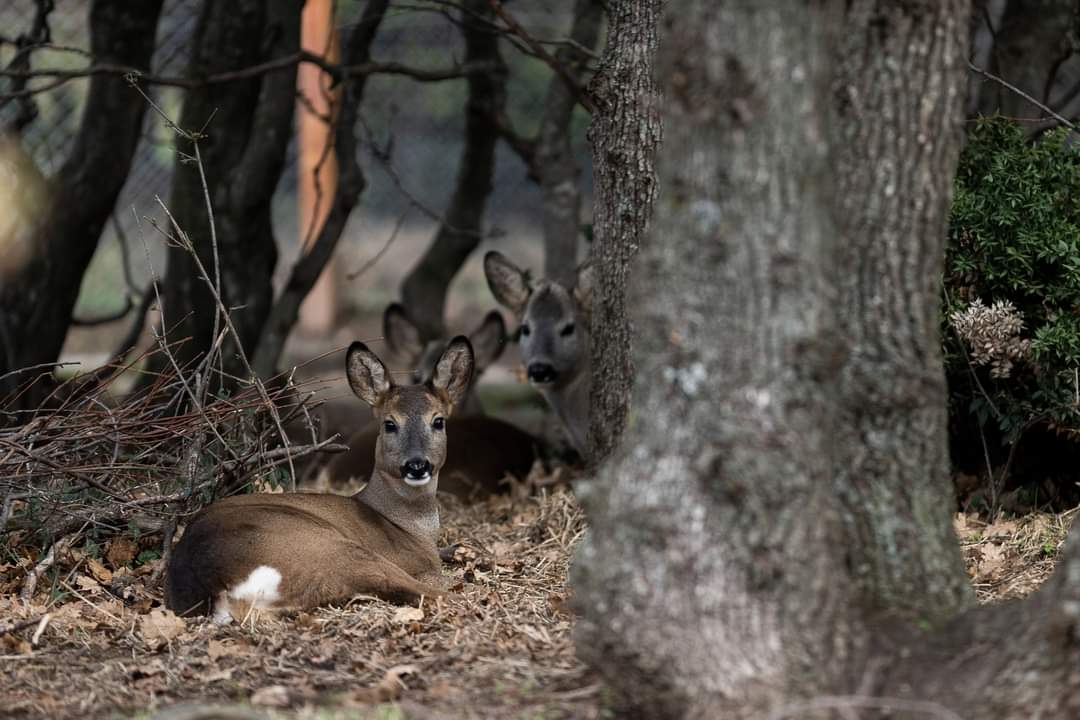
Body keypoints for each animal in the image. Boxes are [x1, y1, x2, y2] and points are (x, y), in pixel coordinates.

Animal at [164, 338, 473, 621]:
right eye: (389, 424)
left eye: (438, 421)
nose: (417, 465)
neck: (411, 528)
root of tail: (219, 588)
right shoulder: (413, 562)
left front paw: (462, 551)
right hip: (333, 547)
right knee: (418, 589)